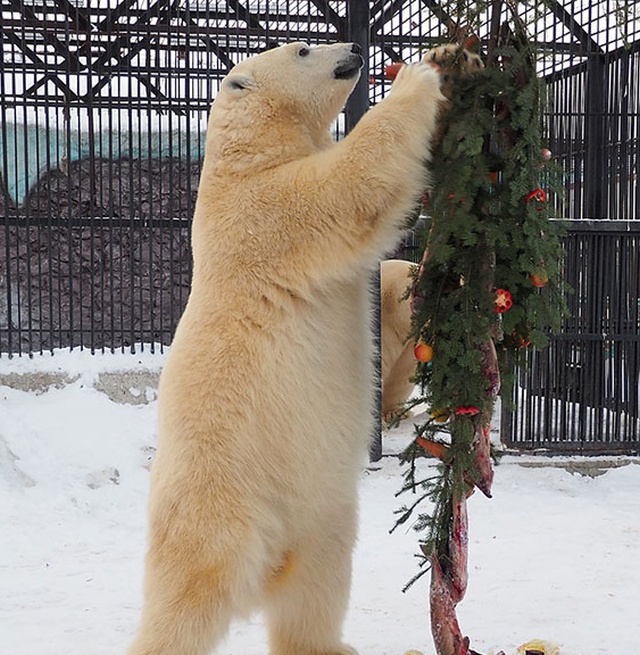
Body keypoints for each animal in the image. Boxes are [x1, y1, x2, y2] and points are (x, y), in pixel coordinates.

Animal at [127, 42, 442, 655]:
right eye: (303, 48)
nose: (355, 49)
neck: (245, 157)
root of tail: (268, 561)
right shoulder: (263, 212)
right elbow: (349, 184)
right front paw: (421, 75)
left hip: (321, 514)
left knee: (316, 587)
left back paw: (331, 645)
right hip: (219, 499)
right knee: (190, 592)